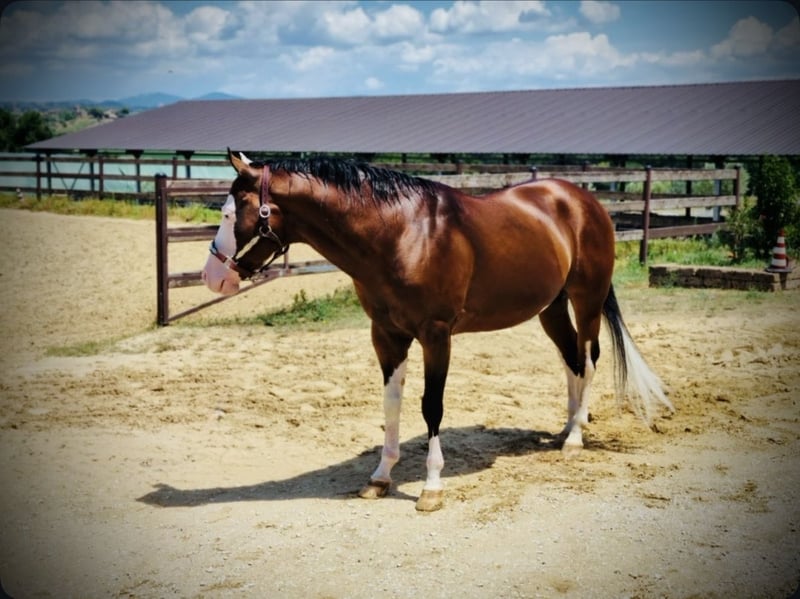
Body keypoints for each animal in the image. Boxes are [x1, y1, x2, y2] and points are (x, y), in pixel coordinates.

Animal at [201, 149, 674, 511]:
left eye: (230, 213)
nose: (212, 277)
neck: (401, 233)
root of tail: (582, 199)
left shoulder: (436, 333)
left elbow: (432, 407)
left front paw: (431, 488)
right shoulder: (386, 334)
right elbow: (391, 406)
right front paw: (380, 477)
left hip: (586, 299)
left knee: (588, 360)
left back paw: (575, 438)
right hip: (550, 307)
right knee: (571, 359)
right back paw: (567, 425)